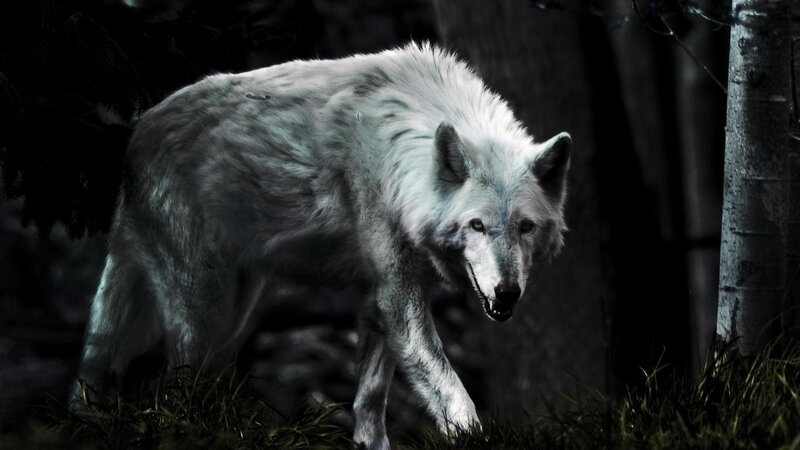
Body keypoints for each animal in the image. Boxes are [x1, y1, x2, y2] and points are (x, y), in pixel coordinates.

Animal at [71, 42, 571, 448]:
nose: (507, 293)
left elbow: (369, 403)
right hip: (202, 316)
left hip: (233, 319)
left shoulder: (380, 300)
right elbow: (454, 394)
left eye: (525, 227)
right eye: (476, 226)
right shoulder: (398, 297)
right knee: (169, 390)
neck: (401, 150)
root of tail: (136, 138)